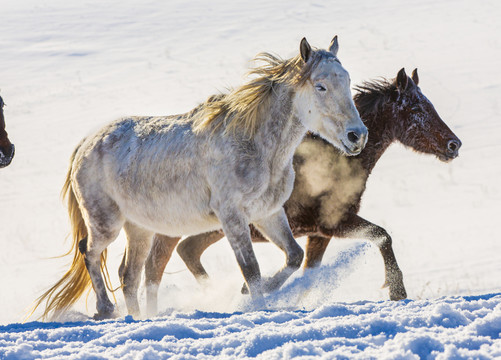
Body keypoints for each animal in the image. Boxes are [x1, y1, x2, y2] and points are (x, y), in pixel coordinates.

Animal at [35, 35, 368, 318]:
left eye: (348, 80)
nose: (357, 136)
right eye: (321, 86)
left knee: (128, 275)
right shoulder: (232, 216)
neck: (255, 146)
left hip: (139, 229)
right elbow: (251, 268)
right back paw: (106, 309)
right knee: (90, 253)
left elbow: (294, 256)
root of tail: (86, 144)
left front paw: (254, 293)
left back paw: (138, 318)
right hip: (107, 224)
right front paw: (253, 304)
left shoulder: (268, 214)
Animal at [132, 68, 460, 312]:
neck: (338, 160)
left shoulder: (319, 233)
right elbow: (383, 236)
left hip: (211, 229)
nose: (453, 144)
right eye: (416, 107)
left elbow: (309, 273)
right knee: (155, 267)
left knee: (187, 251)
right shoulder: (333, 223)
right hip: (173, 229)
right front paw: (397, 291)